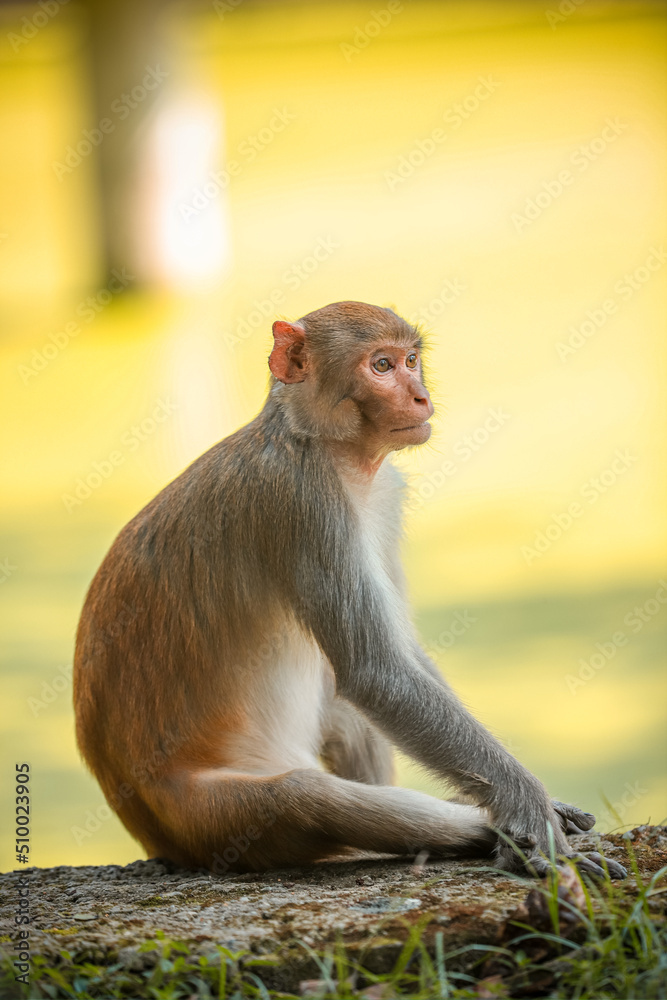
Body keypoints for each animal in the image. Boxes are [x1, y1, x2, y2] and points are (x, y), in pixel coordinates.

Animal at [73, 301, 626, 880]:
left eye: (410, 360)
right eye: (380, 366)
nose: (420, 396)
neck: (322, 444)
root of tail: (151, 833)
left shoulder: (383, 495)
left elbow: (396, 660)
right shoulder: (305, 500)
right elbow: (377, 672)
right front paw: (529, 811)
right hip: (211, 819)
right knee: (305, 798)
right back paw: (485, 833)